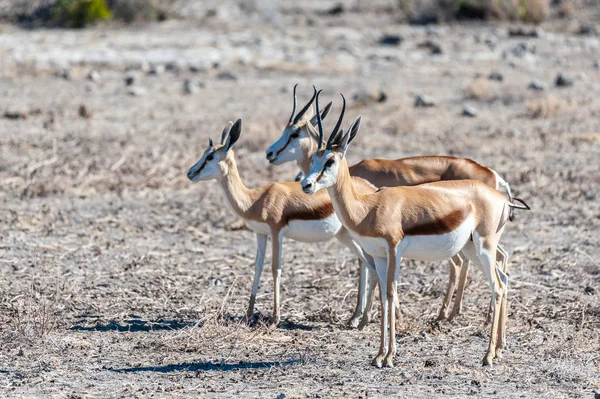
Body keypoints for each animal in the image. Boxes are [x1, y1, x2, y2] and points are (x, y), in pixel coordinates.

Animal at [185, 118, 378, 328]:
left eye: (210, 156)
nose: (190, 172)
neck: (255, 199)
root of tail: (370, 187)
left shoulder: (276, 232)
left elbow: (275, 268)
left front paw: (275, 318)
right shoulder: (260, 233)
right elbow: (258, 266)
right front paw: (248, 314)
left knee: (370, 262)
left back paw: (363, 318)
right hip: (344, 236)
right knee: (365, 262)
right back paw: (356, 317)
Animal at [268, 86, 516, 324]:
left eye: (295, 133)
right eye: (315, 159)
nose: (269, 153)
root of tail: (495, 177)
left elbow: (371, 273)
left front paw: (365, 317)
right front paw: (361, 316)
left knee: (474, 267)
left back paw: (458, 315)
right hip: (471, 242)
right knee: (496, 262)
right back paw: (463, 315)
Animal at [302, 91, 528, 368]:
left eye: (330, 160)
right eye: (314, 158)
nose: (306, 184)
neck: (368, 207)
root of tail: (501, 195)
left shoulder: (394, 251)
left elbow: (391, 293)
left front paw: (389, 356)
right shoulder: (378, 256)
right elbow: (383, 297)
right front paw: (378, 356)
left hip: (484, 247)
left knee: (497, 286)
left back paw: (487, 356)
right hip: (471, 249)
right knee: (504, 279)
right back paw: (498, 350)